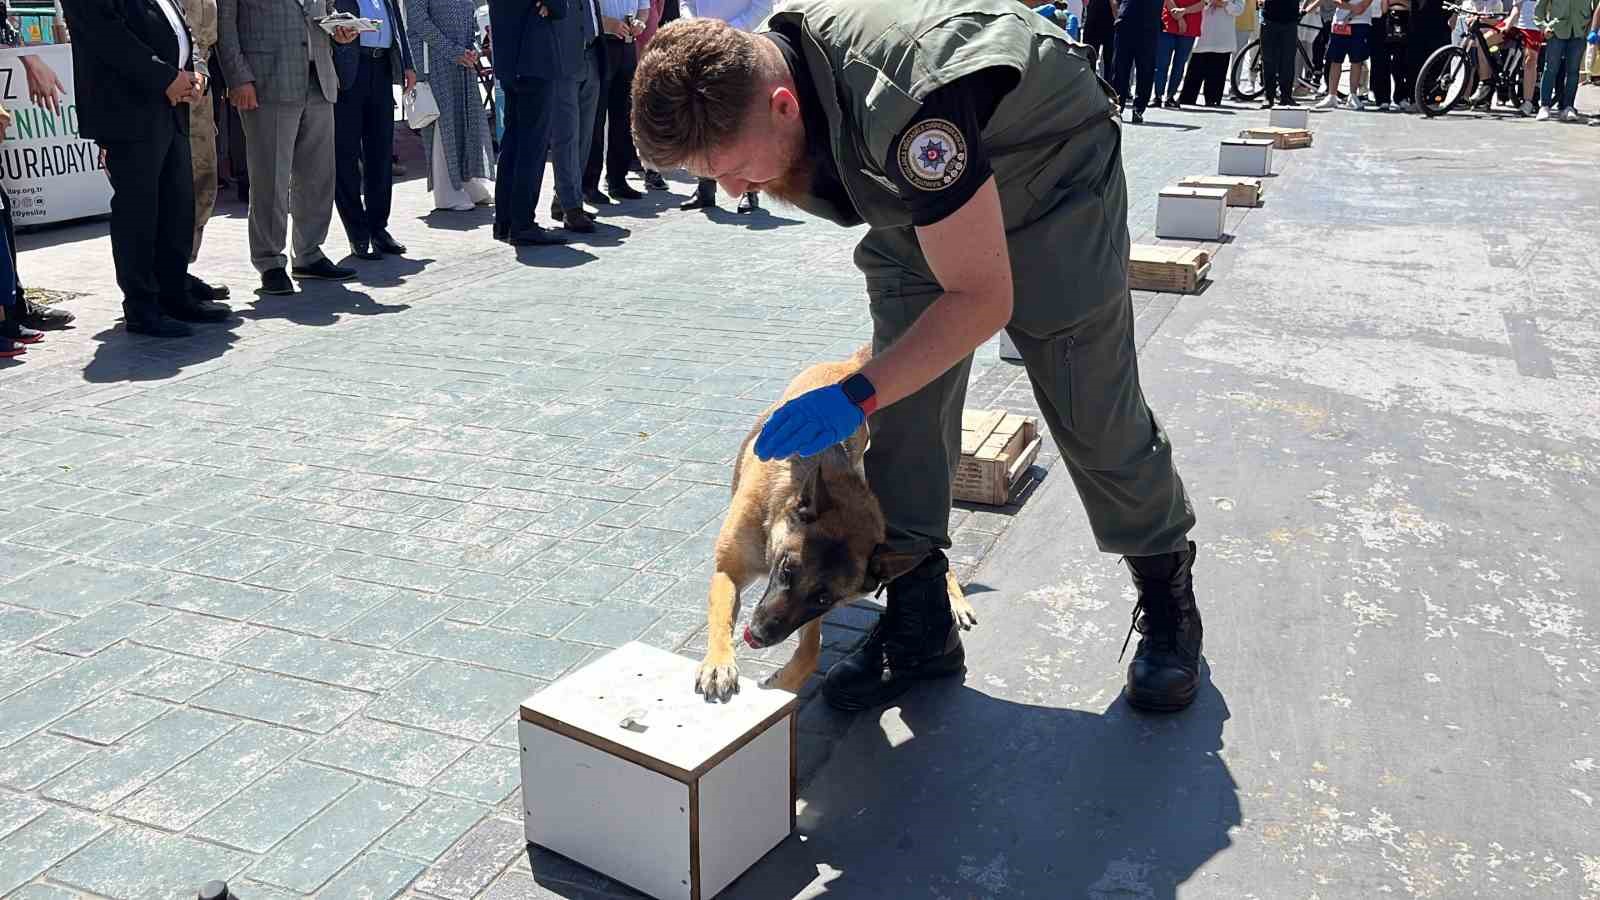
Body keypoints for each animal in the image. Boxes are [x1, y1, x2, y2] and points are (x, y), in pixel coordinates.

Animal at [697, 347, 972, 698]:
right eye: (787, 571)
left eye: (824, 599)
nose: (757, 636)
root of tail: (849, 366)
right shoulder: (727, 571)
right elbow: (720, 617)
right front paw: (719, 663)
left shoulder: (811, 615)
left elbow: (810, 652)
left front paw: (783, 683)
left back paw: (955, 599)